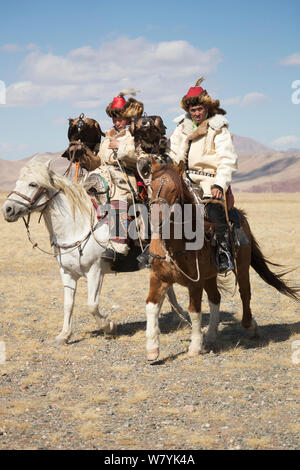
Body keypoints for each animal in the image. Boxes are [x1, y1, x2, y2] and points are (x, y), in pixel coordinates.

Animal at [2, 156, 184, 344]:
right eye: (17, 182)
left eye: (33, 184)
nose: (7, 209)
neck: (77, 227)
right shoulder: (67, 273)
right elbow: (68, 304)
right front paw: (64, 335)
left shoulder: (95, 272)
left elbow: (92, 305)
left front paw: (109, 327)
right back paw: (178, 317)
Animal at [145, 160, 298, 362]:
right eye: (151, 187)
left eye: (173, 189)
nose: (156, 219)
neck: (174, 244)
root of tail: (240, 214)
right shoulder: (158, 278)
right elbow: (151, 307)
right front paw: (152, 349)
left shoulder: (195, 283)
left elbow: (194, 311)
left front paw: (195, 347)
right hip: (210, 276)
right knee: (215, 298)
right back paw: (210, 335)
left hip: (241, 266)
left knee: (244, 293)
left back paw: (251, 326)